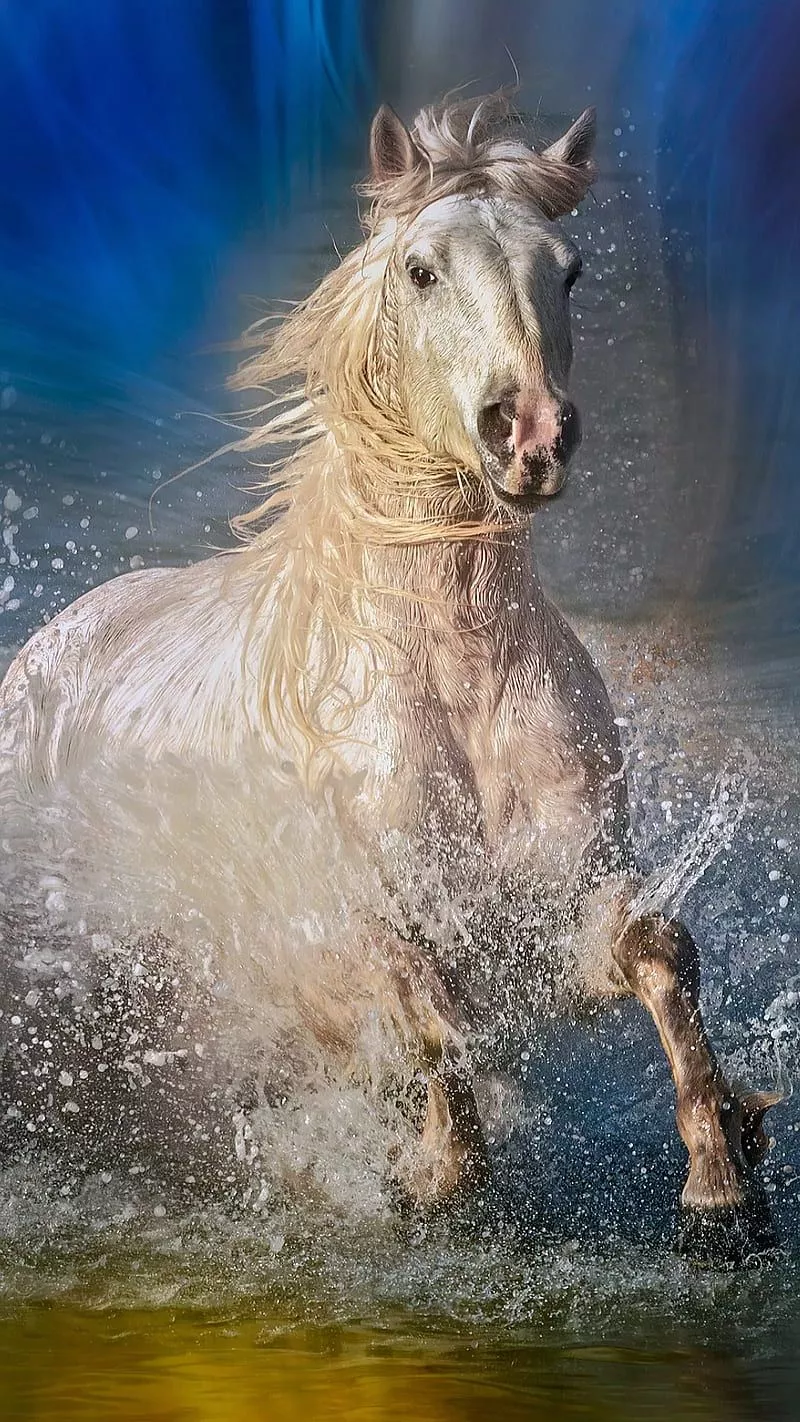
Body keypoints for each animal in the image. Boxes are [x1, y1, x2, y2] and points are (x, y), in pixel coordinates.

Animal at [0, 91, 779, 1256]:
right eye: (420, 269)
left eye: (570, 269)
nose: (530, 432)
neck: (454, 678)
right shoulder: (343, 940)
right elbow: (425, 1014)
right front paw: (428, 1181)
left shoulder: (557, 912)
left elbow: (657, 950)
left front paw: (720, 1187)